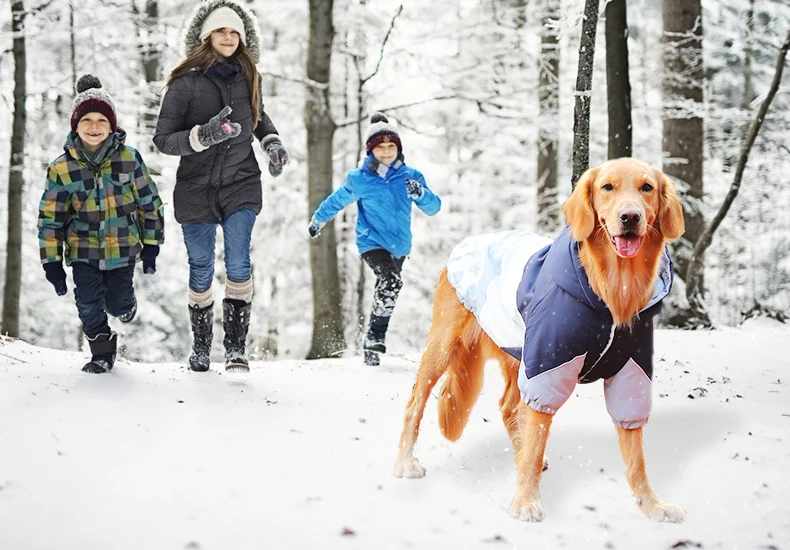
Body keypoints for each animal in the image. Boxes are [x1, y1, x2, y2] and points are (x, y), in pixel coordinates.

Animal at [394, 157, 688, 524]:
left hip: (519, 353)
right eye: (608, 187)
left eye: (647, 188)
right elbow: (537, 437)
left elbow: (636, 457)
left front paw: (651, 504)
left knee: (508, 407)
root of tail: (468, 241)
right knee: (415, 402)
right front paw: (526, 500)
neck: (613, 292)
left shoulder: (631, 372)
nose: (630, 217)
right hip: (445, 346)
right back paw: (405, 462)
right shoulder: (549, 366)